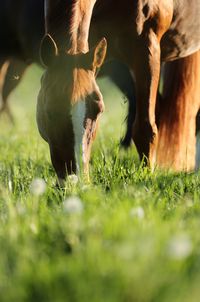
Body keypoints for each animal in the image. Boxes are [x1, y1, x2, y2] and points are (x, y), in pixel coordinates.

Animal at [37, 0, 200, 182]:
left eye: (99, 111)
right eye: (49, 112)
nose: (75, 179)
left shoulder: (147, 45)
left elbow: (145, 128)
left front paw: (146, 177)